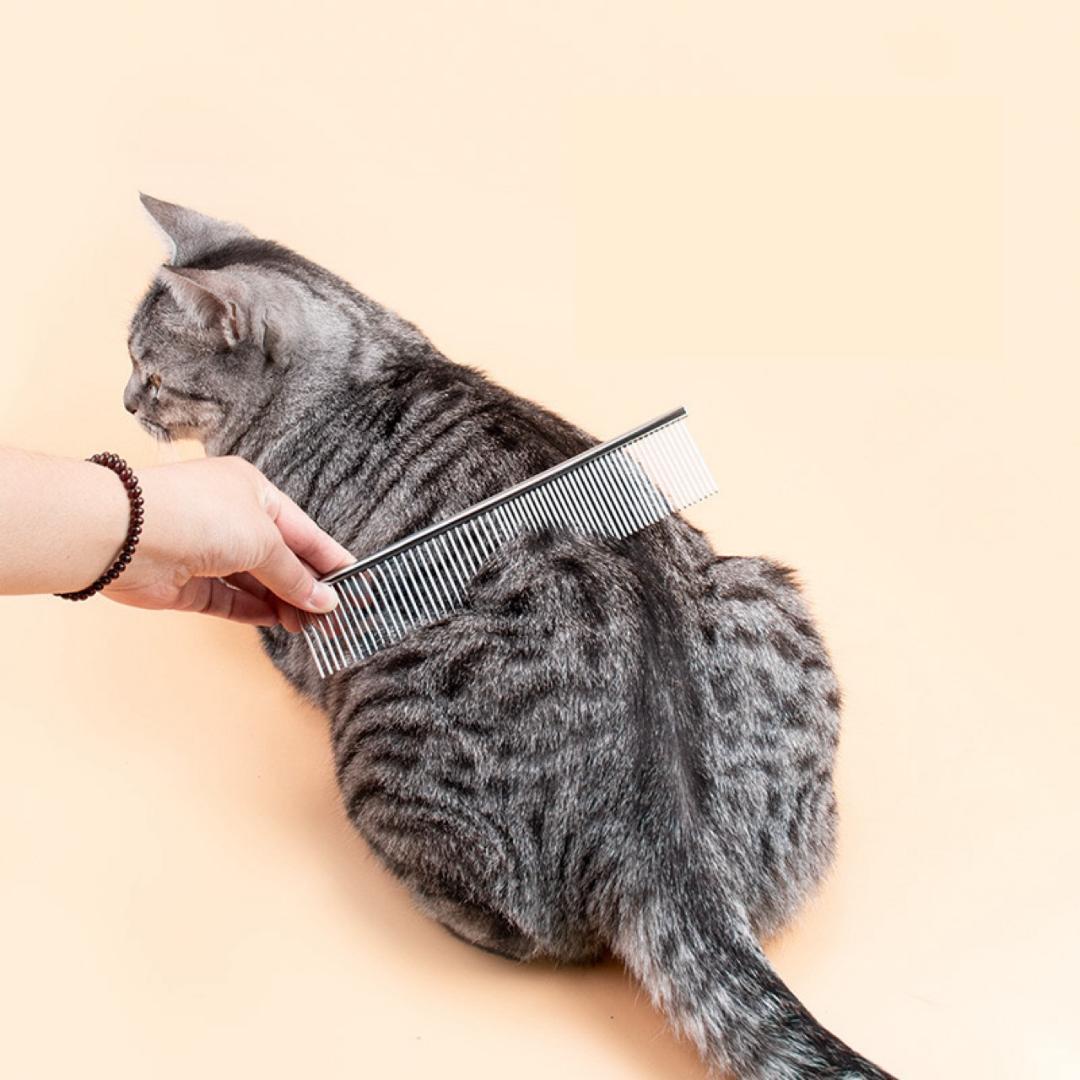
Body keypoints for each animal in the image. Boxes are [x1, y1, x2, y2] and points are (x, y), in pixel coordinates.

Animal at [125, 194, 895, 1079]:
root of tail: (664, 829)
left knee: (519, 930)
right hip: (765, 593)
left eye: (151, 374)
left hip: (376, 739)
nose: (124, 402)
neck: (357, 367)